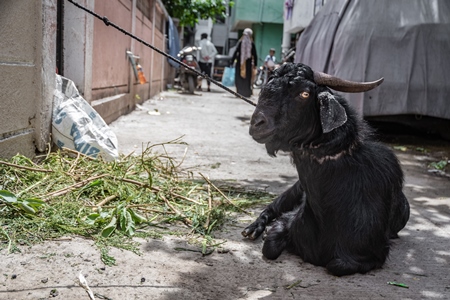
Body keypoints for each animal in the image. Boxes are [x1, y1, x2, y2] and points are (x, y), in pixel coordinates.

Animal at [244, 63, 410, 276]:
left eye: (304, 93)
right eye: (266, 85)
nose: (257, 124)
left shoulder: (372, 254)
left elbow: (336, 265)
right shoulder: (288, 221)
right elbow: (270, 248)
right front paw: (265, 234)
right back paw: (253, 229)